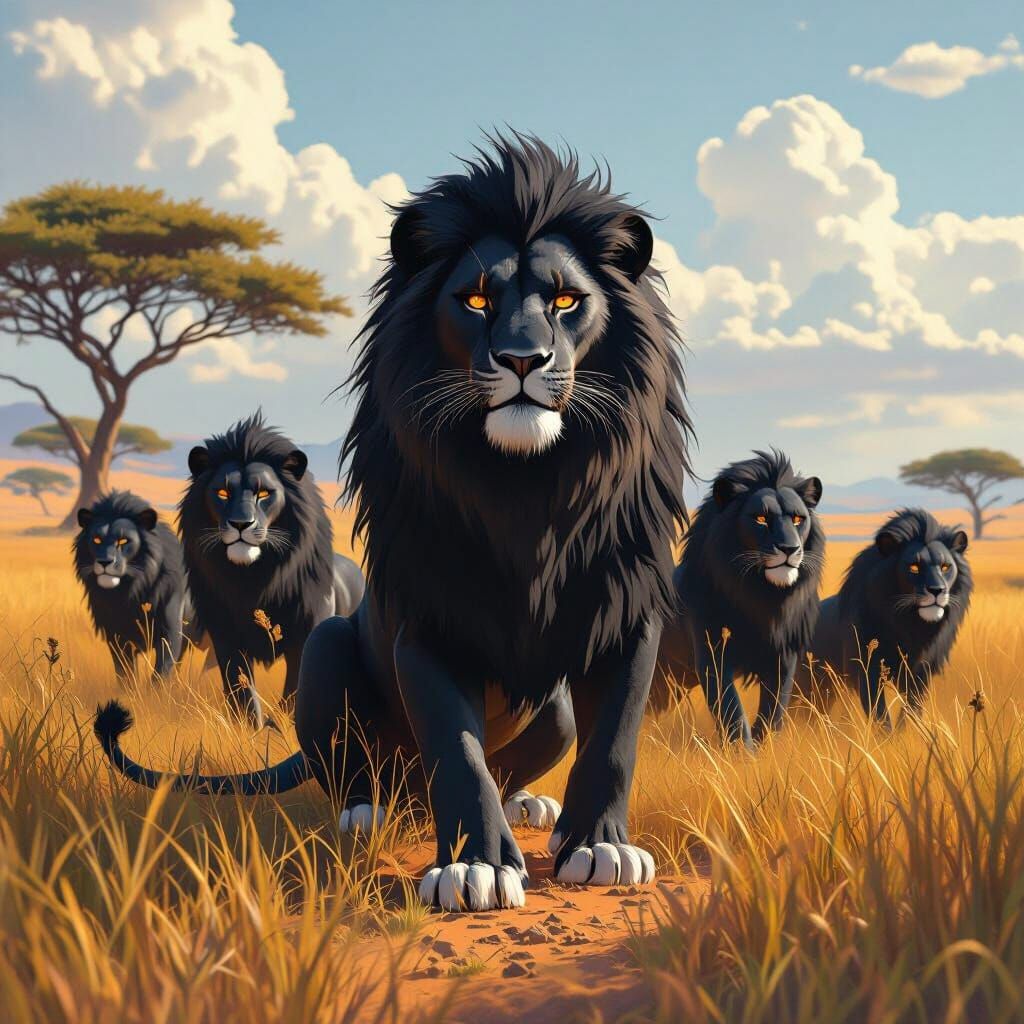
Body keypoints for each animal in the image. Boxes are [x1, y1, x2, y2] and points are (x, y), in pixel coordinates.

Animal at [74, 490, 196, 680]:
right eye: (96, 539)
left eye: (123, 541)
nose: (104, 562)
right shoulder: (117, 636)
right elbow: (125, 675)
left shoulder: (170, 632)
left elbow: (161, 673)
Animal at [178, 413, 364, 726]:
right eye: (222, 492)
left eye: (264, 493)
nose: (241, 524)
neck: (253, 579)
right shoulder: (225, 633)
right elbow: (239, 687)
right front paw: (251, 726)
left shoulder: (307, 632)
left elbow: (295, 689)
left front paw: (283, 725)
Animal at [654, 450, 825, 746]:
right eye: (761, 519)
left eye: (797, 519)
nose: (790, 548)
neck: (763, 597)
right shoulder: (712, 656)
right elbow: (732, 712)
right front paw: (743, 751)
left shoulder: (784, 658)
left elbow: (772, 713)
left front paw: (764, 748)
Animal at [795, 508, 972, 725]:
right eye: (914, 567)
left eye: (946, 567)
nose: (937, 590)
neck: (910, 625)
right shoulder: (867, 671)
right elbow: (880, 716)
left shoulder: (920, 674)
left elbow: (911, 714)